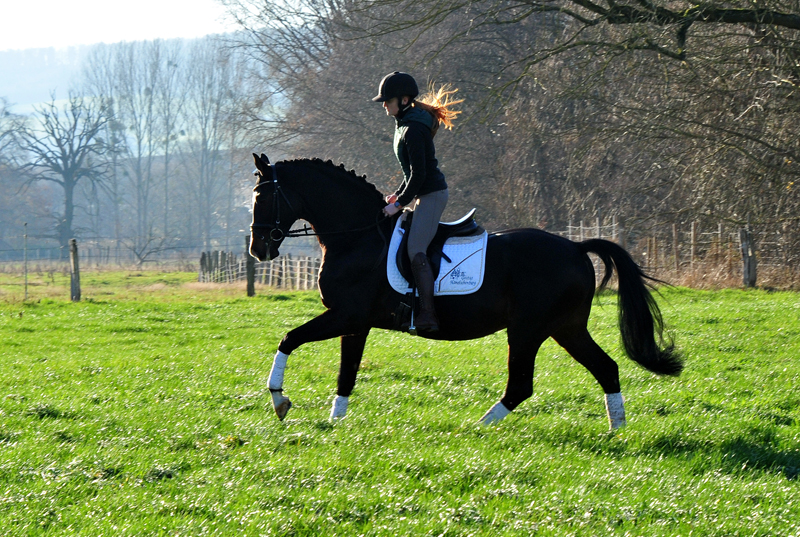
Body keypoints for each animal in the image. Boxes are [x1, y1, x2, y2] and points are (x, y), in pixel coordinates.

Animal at [248, 153, 680, 430]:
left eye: (262, 197)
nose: (258, 249)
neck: (356, 237)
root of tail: (575, 247)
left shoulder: (345, 315)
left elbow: (289, 339)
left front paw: (279, 400)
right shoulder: (355, 324)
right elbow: (346, 375)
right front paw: (335, 421)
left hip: (528, 329)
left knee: (521, 385)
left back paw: (479, 425)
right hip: (566, 327)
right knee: (606, 368)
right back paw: (617, 430)